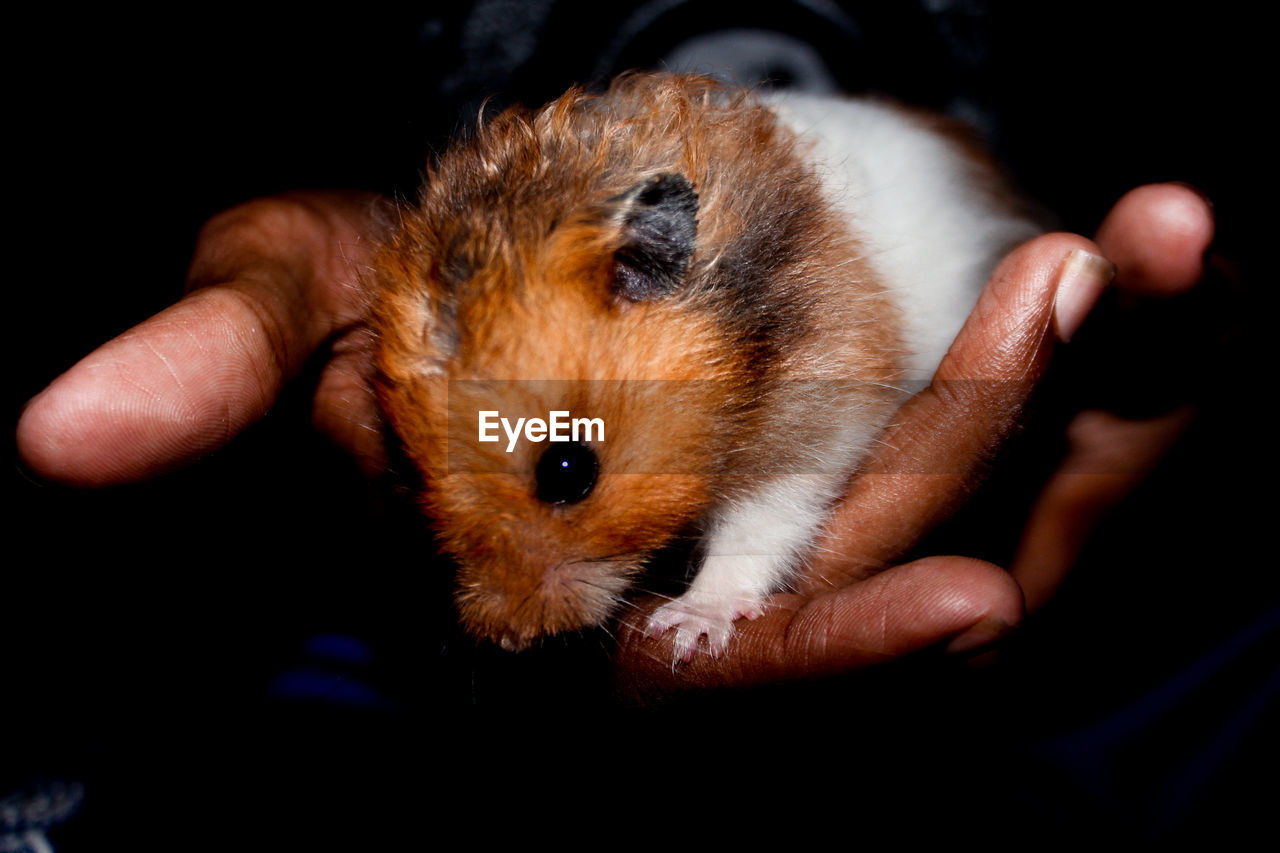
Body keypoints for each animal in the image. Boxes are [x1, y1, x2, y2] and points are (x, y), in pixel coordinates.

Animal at [373, 71, 1039, 655]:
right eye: (411, 471)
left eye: (567, 470)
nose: (508, 638)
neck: (734, 332)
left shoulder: (817, 413)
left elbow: (761, 523)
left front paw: (689, 628)